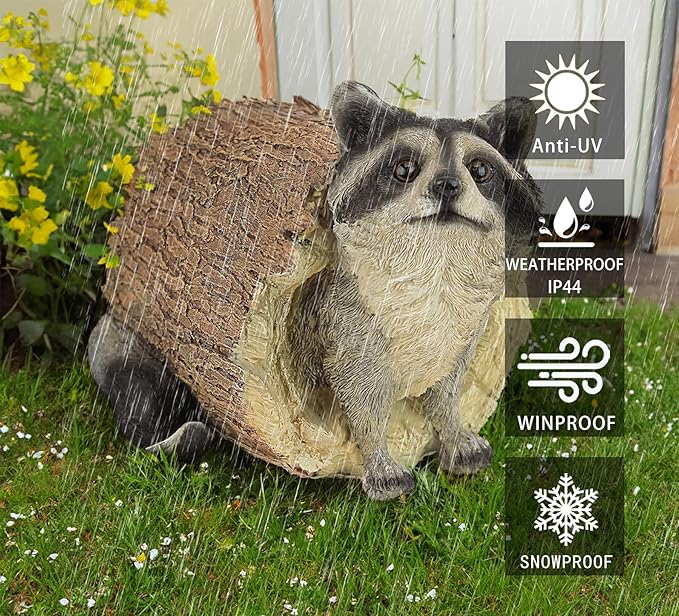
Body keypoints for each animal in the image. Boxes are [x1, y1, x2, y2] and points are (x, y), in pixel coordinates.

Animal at [88, 81, 541, 500]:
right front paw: (378, 458)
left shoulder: (463, 331)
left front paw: (454, 432)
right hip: (124, 336)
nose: (447, 185)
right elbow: (362, 399)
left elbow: (447, 391)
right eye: (404, 168)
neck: (435, 266)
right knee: (137, 393)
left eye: (480, 170)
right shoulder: (348, 322)